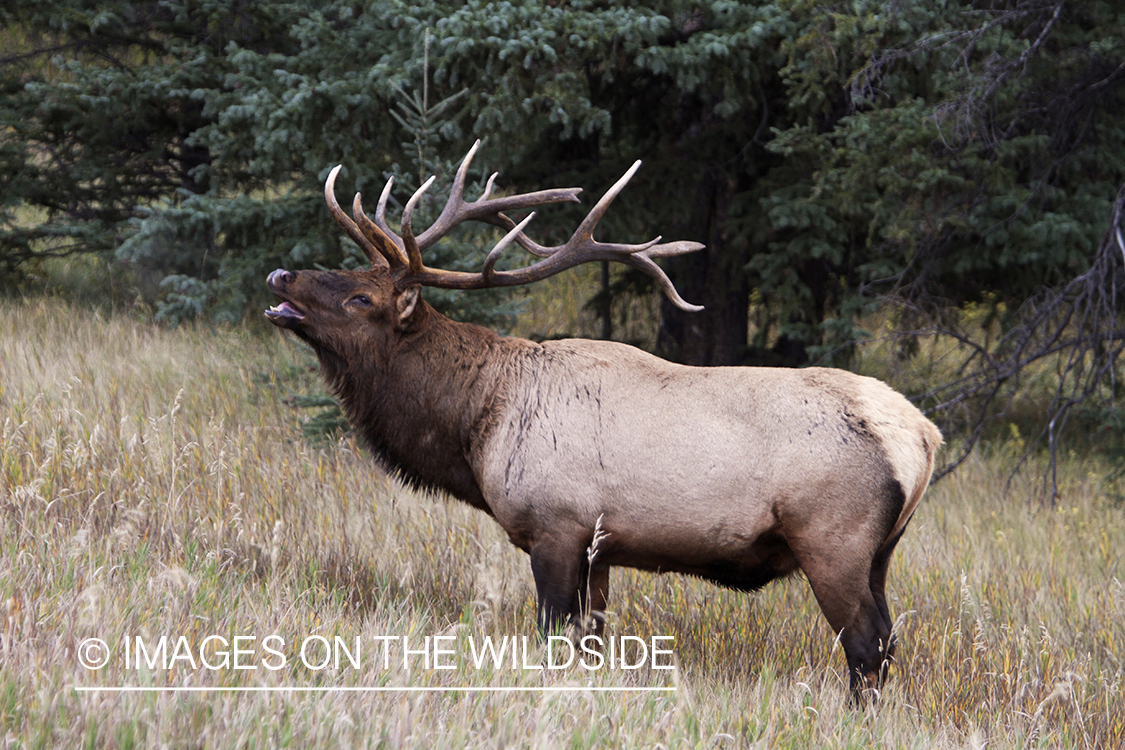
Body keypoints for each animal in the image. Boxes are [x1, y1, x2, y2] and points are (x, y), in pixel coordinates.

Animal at [265, 142, 940, 697]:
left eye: (361, 298)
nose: (281, 274)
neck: (477, 424)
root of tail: (923, 436)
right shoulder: (602, 549)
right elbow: (591, 641)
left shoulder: (557, 527)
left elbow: (554, 638)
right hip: (881, 552)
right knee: (886, 641)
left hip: (833, 539)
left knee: (868, 647)